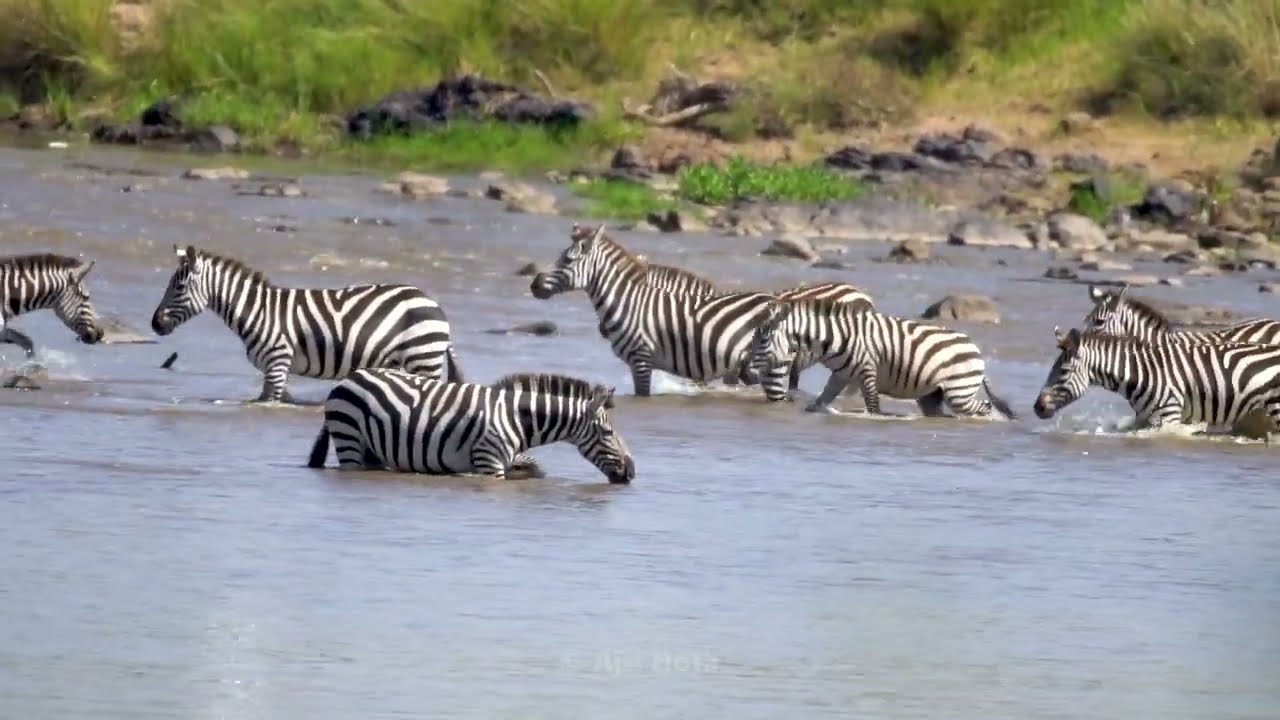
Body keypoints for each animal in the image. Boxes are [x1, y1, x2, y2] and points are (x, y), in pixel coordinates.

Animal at [150, 245, 464, 404]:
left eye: (178, 288)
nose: (155, 324)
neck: (258, 311)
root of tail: (435, 305)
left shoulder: (277, 363)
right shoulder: (276, 369)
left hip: (423, 358)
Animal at [306, 368, 636, 483]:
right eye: (608, 433)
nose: (631, 473)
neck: (517, 419)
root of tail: (349, 378)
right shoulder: (489, 462)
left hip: (372, 448)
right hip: (350, 439)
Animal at [529, 224, 788, 397]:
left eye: (568, 261)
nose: (534, 285)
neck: (627, 302)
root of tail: (779, 301)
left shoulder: (641, 359)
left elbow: (642, 395)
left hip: (771, 365)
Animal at [748, 298, 1017, 419]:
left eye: (763, 341)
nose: (746, 371)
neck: (837, 338)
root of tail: (974, 348)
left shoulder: (868, 371)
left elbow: (873, 408)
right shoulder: (840, 375)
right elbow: (819, 402)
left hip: (959, 392)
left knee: (984, 407)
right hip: (932, 395)